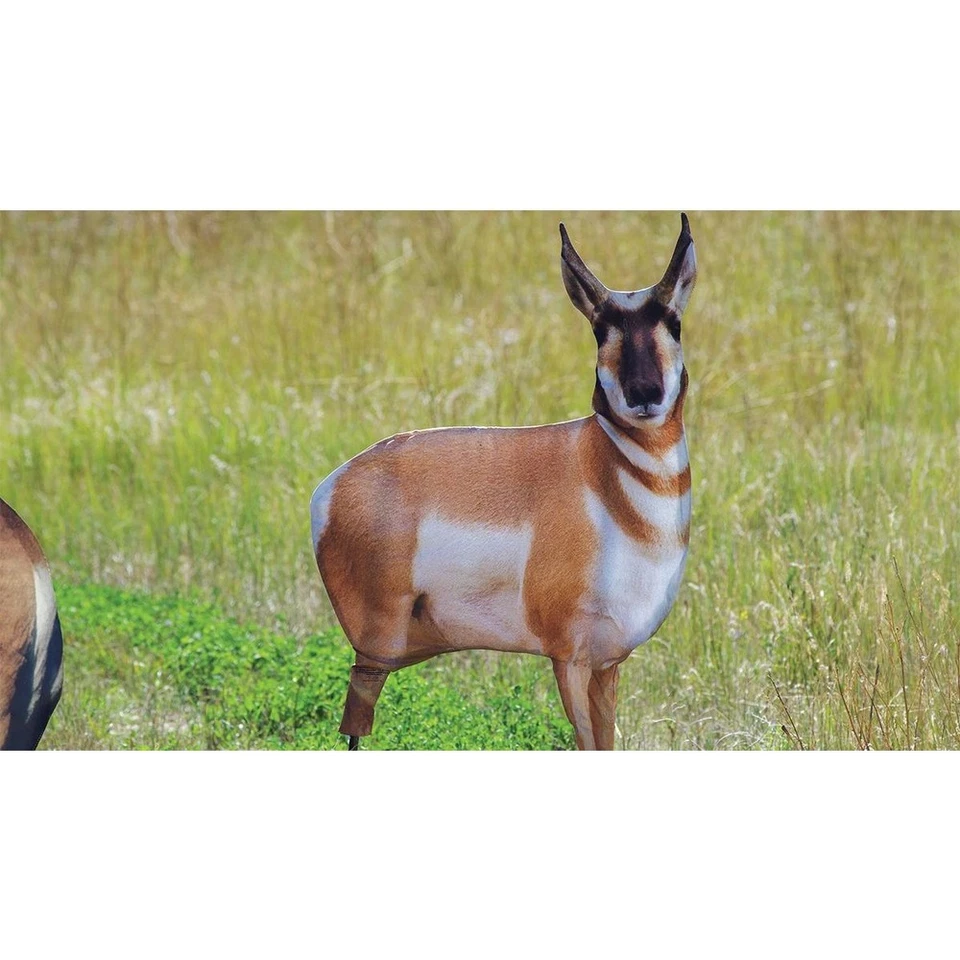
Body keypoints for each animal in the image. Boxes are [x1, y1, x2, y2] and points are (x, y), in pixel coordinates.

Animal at [310, 215, 696, 750]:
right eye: (600, 329)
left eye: (673, 323)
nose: (645, 394)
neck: (606, 479)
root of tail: (332, 484)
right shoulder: (569, 659)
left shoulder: (607, 663)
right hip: (377, 650)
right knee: (354, 725)